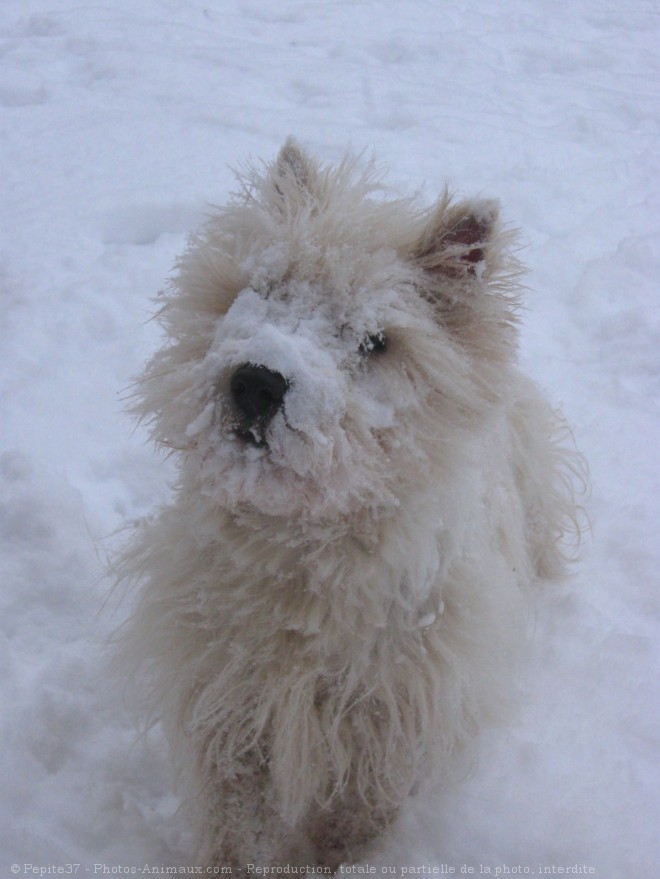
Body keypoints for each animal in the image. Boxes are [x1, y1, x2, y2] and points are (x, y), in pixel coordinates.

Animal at [117, 141, 584, 868]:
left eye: (376, 341)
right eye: (261, 291)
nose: (257, 382)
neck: (303, 570)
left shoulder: (383, 731)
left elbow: (347, 828)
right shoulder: (230, 704)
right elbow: (235, 830)